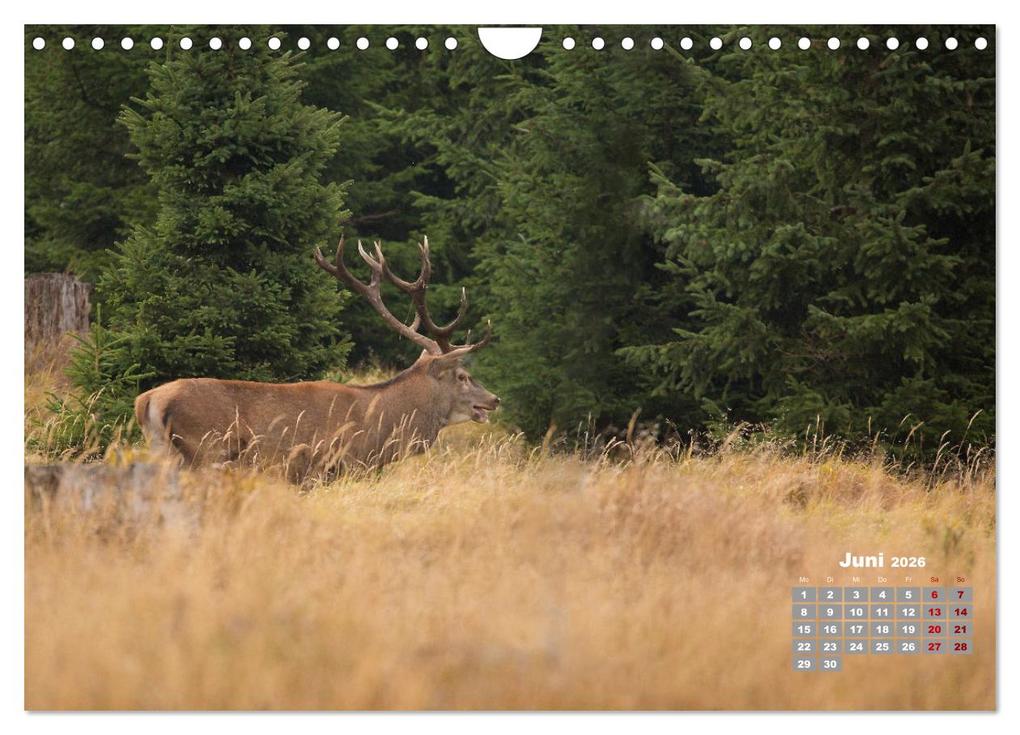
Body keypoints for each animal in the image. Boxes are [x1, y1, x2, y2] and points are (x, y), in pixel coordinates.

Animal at [133, 234, 500, 482]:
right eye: (463, 376)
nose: (495, 399)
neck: (380, 426)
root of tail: (148, 401)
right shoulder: (337, 466)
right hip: (204, 451)